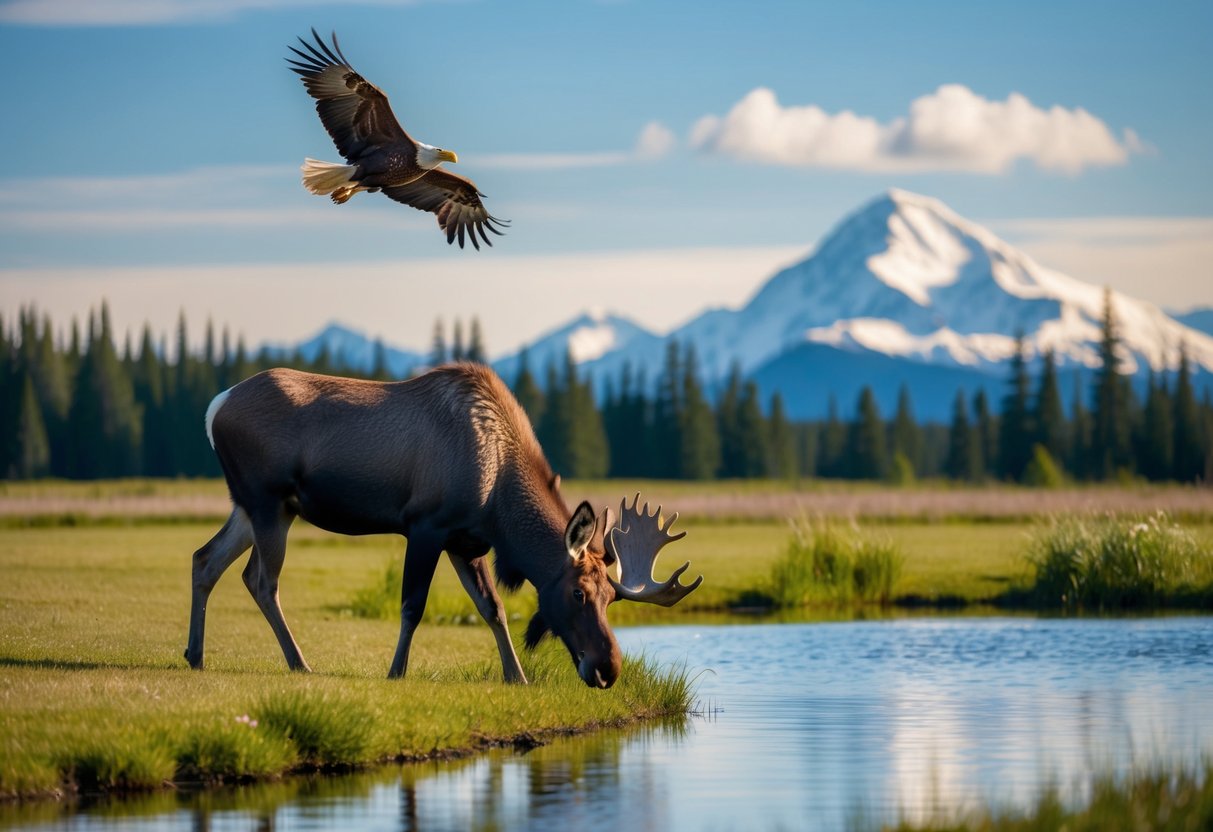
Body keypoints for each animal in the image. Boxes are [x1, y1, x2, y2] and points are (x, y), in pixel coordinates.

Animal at [185, 363, 701, 688]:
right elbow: (413, 605)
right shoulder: (425, 525)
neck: (499, 504)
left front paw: (517, 676)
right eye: (578, 593)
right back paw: (299, 663)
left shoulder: (466, 542)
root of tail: (213, 409)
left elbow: (493, 609)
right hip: (267, 501)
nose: (608, 669)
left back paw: (195, 655)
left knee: (205, 559)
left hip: (257, 506)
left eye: (612, 595)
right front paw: (396, 672)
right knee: (260, 579)